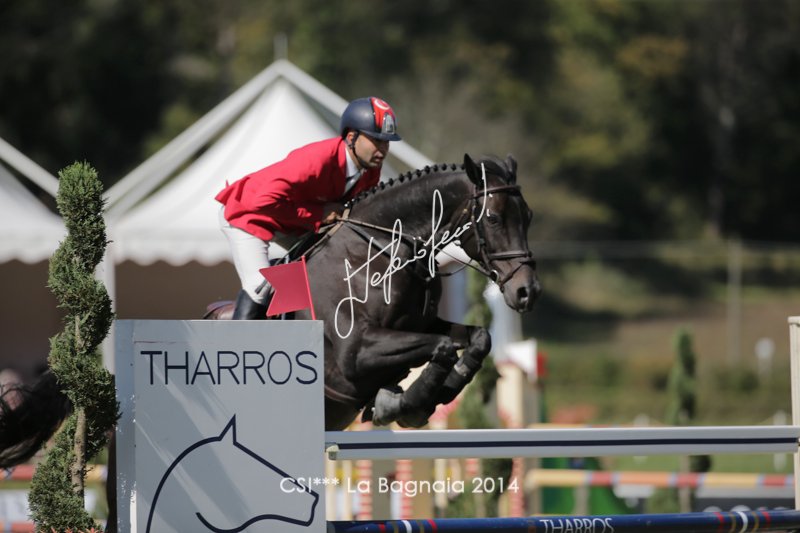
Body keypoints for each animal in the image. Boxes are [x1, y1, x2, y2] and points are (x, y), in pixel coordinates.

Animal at [208, 153, 541, 430]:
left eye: (528, 216)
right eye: (493, 218)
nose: (528, 292)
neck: (383, 250)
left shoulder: (422, 325)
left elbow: (478, 338)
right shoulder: (356, 351)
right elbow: (443, 346)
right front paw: (406, 406)